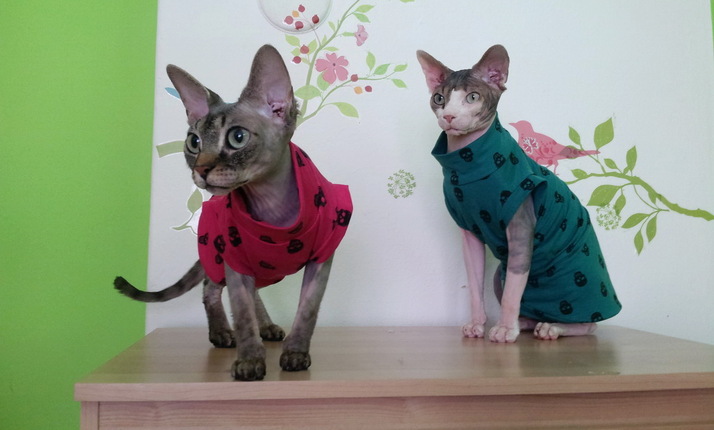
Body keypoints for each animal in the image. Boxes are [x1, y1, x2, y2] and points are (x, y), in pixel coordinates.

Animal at [115, 44, 352, 381]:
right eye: (194, 142)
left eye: (237, 137)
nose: (201, 169)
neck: (272, 206)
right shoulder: (234, 256)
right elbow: (241, 312)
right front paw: (250, 360)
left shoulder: (321, 258)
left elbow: (307, 310)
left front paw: (295, 353)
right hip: (219, 253)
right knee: (211, 288)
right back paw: (222, 333)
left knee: (248, 292)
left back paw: (267, 327)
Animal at [416, 45, 621, 343]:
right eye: (439, 98)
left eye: (472, 97)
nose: (449, 116)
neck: (467, 163)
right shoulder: (469, 232)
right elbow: (474, 285)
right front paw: (477, 324)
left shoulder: (521, 225)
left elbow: (515, 286)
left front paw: (504, 330)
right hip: (497, 275)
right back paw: (526, 322)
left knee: (590, 324)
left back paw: (551, 327)